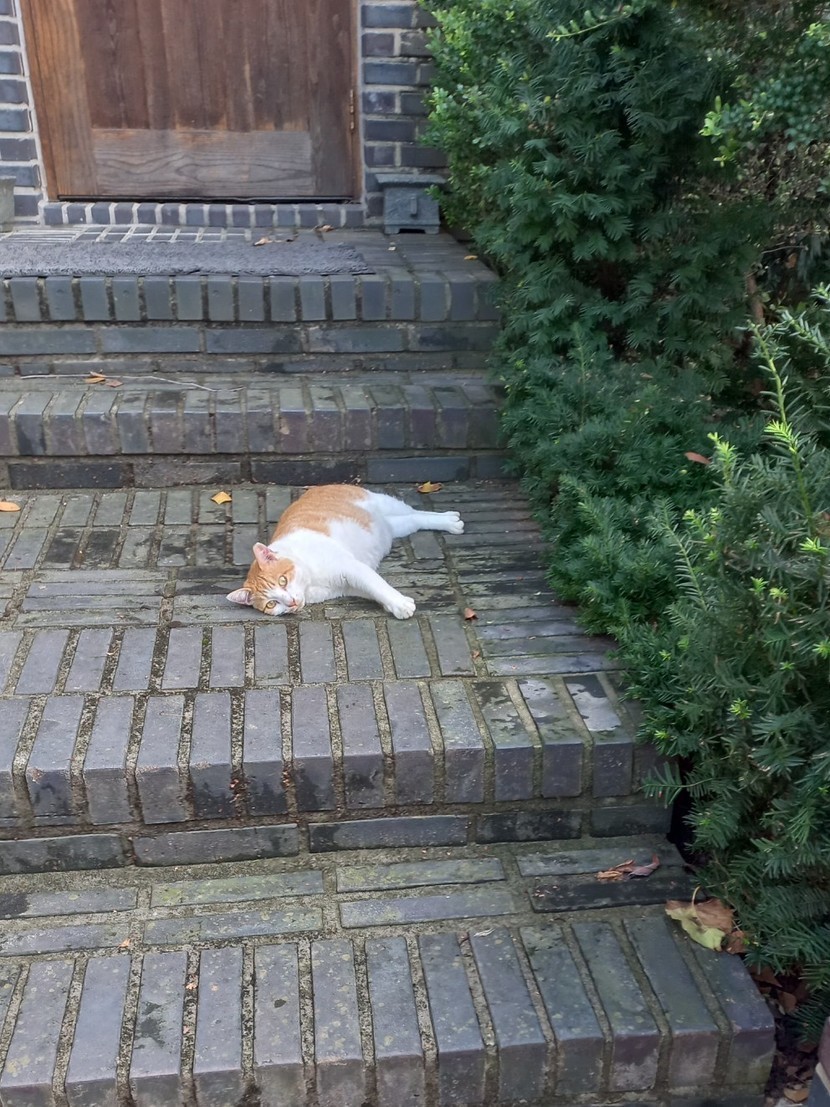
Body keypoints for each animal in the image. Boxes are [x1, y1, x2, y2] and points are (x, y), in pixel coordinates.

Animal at [226, 484, 464, 619]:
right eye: (271, 604)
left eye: (283, 581)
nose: (291, 602)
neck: (311, 583)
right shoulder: (350, 584)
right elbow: (374, 589)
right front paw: (392, 605)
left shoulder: (352, 567)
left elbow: (379, 585)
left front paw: (400, 604)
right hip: (395, 526)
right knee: (414, 519)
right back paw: (450, 521)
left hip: (386, 503)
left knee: (416, 511)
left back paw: (449, 520)